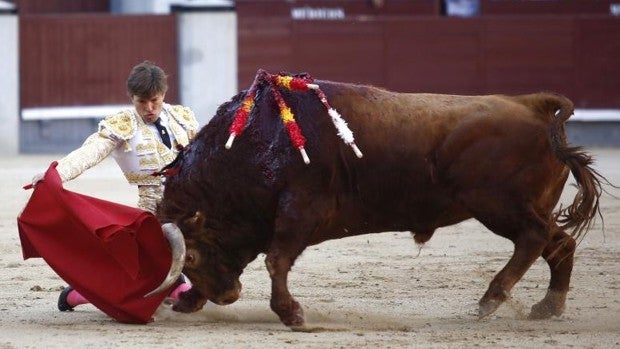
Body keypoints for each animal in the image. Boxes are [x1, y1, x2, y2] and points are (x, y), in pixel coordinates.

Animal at [150, 71, 604, 328]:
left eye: (191, 256)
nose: (228, 296)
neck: (257, 144)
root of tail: (533, 105)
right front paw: (188, 301)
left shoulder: (300, 210)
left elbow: (276, 260)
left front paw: (291, 313)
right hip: (528, 206)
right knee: (559, 243)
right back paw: (548, 306)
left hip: (498, 205)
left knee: (533, 239)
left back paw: (490, 300)